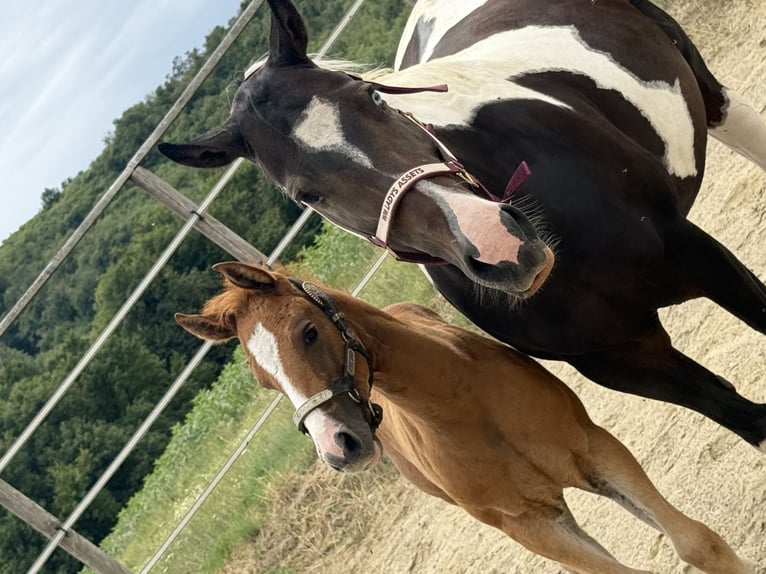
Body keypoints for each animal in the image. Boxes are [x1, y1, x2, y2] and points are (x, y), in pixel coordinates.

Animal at [159, 0, 766, 451]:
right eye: (305, 194)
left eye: (371, 96)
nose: (500, 247)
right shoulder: (623, 359)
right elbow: (744, 417)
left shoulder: (704, 260)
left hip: (711, 97)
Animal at [174, 262, 755, 574]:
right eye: (264, 381)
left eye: (308, 332)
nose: (338, 447)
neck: (462, 404)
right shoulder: (527, 524)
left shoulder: (595, 450)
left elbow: (697, 542)